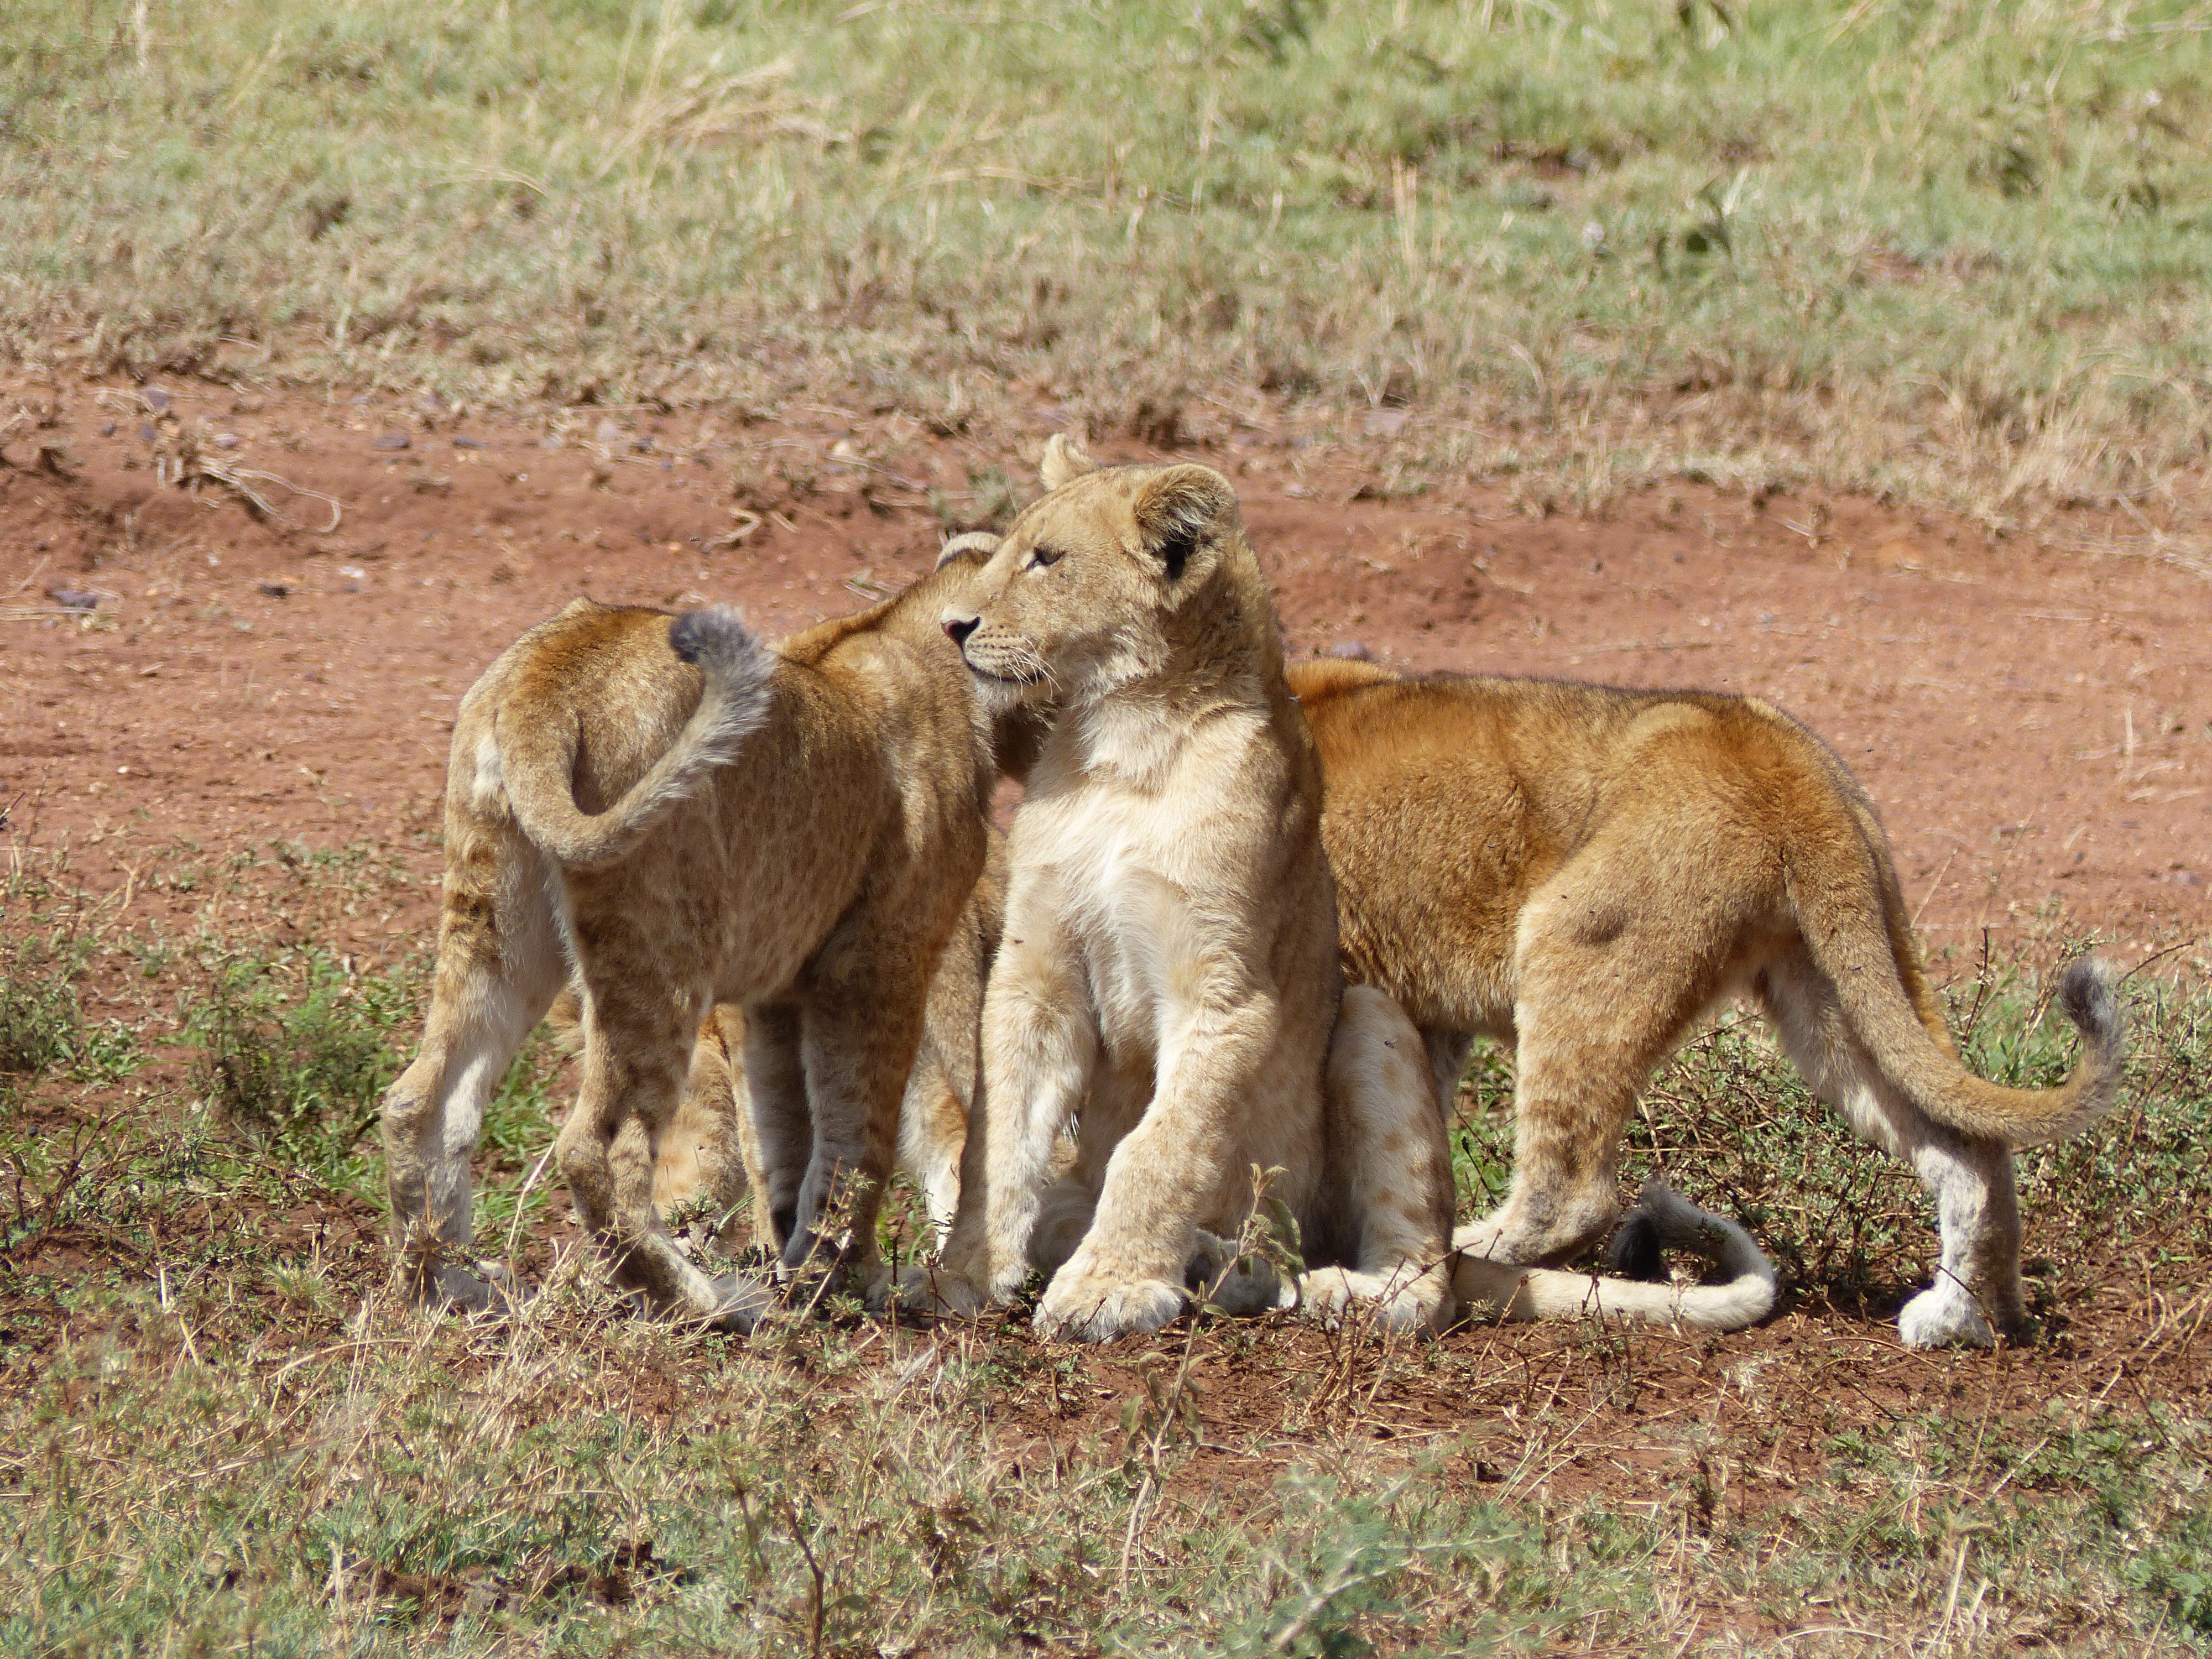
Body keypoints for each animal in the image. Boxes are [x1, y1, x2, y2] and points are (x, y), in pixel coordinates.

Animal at [378, 551, 1001, 1326]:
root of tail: (547, 677)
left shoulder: (778, 990)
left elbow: (784, 1133)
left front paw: (801, 1263)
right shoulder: (880, 962)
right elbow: (859, 1133)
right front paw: (843, 1280)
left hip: (496, 914)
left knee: (423, 1101)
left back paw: (454, 1287)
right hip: (664, 939)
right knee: (599, 1148)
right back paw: (709, 1301)